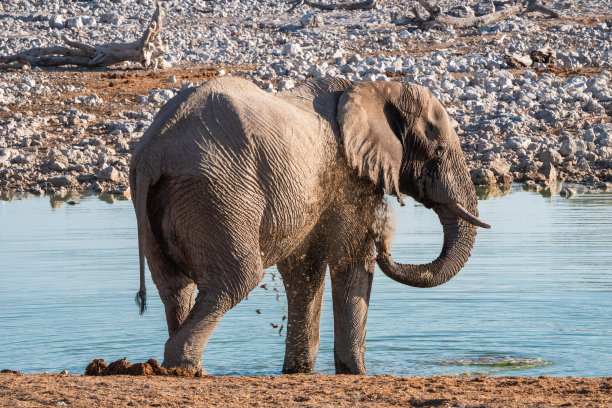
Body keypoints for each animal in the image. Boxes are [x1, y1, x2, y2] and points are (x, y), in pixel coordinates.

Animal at [129, 75, 488, 374]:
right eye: (437, 152)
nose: (384, 242)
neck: (374, 87)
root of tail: (153, 151)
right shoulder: (348, 173)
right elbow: (350, 258)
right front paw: (357, 373)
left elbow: (304, 269)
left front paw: (298, 371)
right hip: (218, 195)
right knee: (236, 280)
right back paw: (185, 369)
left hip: (163, 203)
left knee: (175, 287)